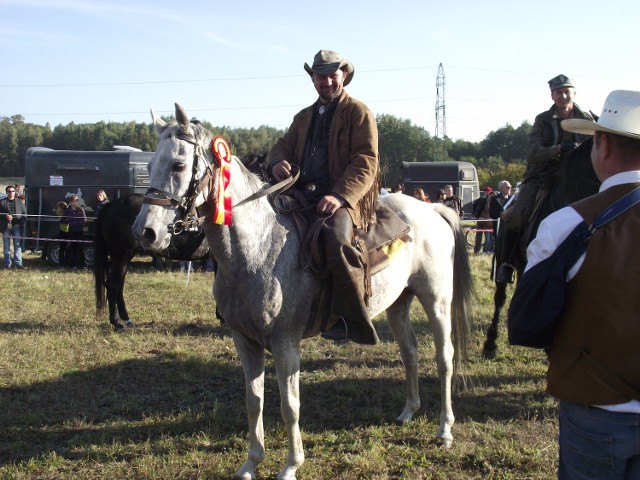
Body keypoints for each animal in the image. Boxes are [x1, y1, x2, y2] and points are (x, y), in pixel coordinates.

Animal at [132, 104, 476, 480]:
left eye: (179, 165)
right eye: (150, 166)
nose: (145, 232)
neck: (258, 248)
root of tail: (432, 209)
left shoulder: (286, 342)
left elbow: (289, 405)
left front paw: (291, 465)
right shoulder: (245, 340)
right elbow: (254, 401)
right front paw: (251, 463)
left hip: (437, 300)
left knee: (444, 358)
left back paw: (445, 429)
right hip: (399, 303)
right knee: (410, 351)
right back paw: (408, 411)